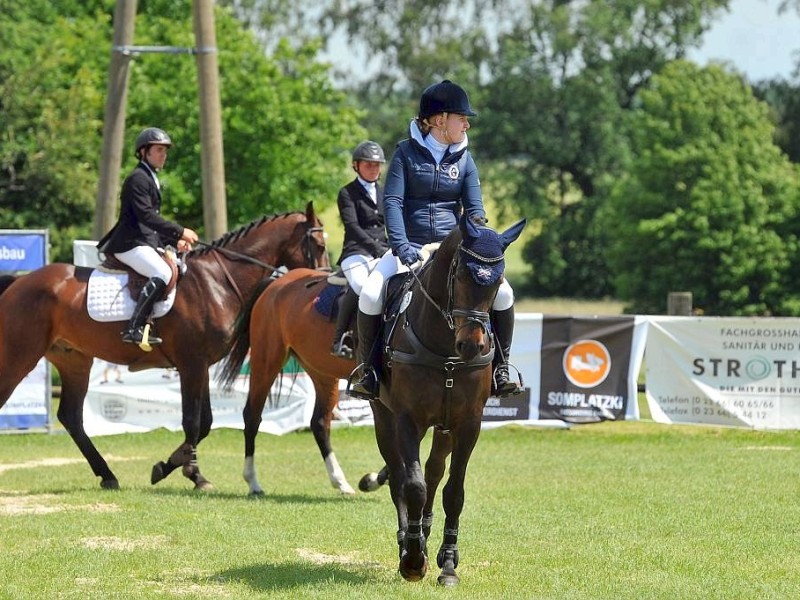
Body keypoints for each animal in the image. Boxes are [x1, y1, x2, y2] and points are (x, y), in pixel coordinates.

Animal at [0, 202, 332, 488]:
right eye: (319, 245)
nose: (324, 280)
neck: (216, 281)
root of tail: (19, 282)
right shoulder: (191, 364)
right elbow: (192, 422)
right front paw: (193, 474)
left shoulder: (200, 365)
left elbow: (205, 422)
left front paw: (170, 466)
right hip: (19, 355)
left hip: (74, 360)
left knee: (71, 417)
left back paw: (108, 475)